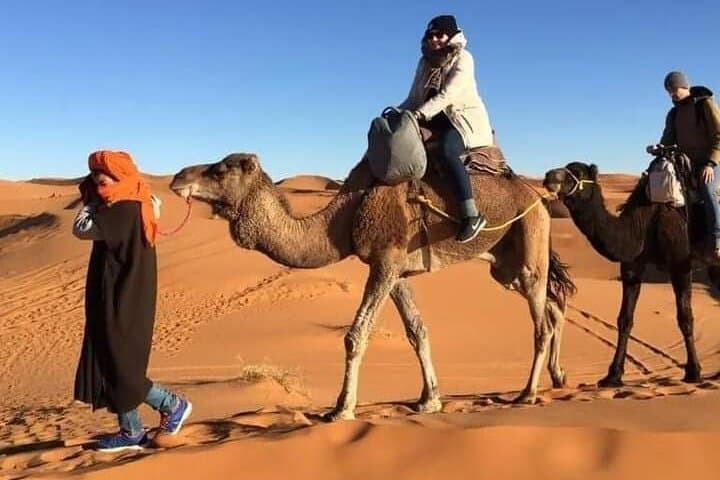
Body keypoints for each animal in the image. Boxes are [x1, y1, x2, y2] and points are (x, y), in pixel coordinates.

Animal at [170, 152, 576, 420]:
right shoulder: (396, 272)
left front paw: (341, 408)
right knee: (552, 306)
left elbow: (356, 334)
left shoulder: (385, 262)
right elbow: (417, 331)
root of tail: (540, 197)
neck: (346, 216)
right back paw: (558, 376)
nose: (177, 177)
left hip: (529, 235)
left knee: (540, 319)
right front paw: (429, 400)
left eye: (220, 169)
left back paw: (527, 393)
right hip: (503, 264)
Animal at [543, 162, 720, 387]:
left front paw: (693, 372)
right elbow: (624, 319)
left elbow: (685, 317)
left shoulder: (680, 263)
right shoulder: (631, 266)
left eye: (577, 173)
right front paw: (612, 375)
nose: (549, 176)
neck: (643, 224)